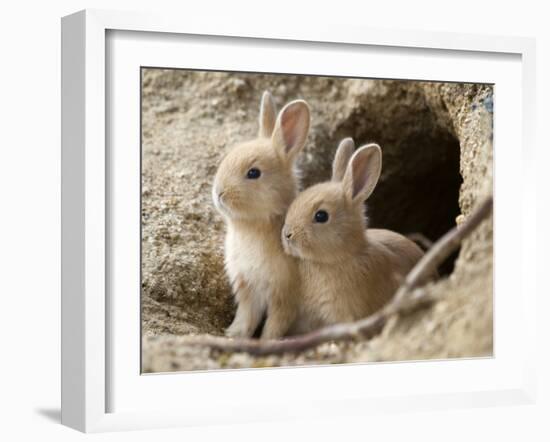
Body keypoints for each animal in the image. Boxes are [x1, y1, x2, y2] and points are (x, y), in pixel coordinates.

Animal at [213, 90, 312, 338]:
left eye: (253, 173)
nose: (219, 193)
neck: (251, 227)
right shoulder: (247, 287)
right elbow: (246, 317)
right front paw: (232, 335)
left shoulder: (283, 297)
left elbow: (274, 324)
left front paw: (266, 341)